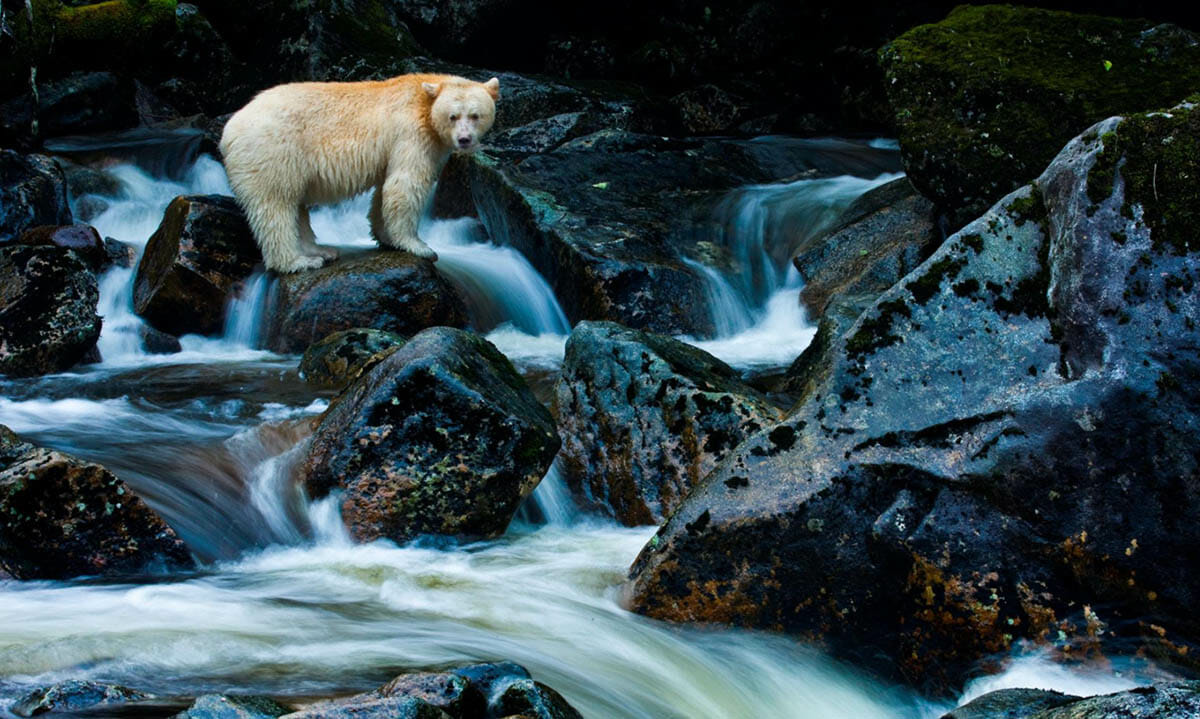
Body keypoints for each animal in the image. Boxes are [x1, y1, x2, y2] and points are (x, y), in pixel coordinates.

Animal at [218, 73, 499, 274]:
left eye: (476, 115)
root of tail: (229, 131)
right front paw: (419, 247)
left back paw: (320, 250)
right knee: (276, 204)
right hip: (273, 150)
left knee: (296, 205)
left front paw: (386, 237)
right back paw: (297, 261)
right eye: (453, 116)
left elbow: (385, 189)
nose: (464, 140)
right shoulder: (412, 134)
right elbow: (405, 184)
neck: (423, 101)